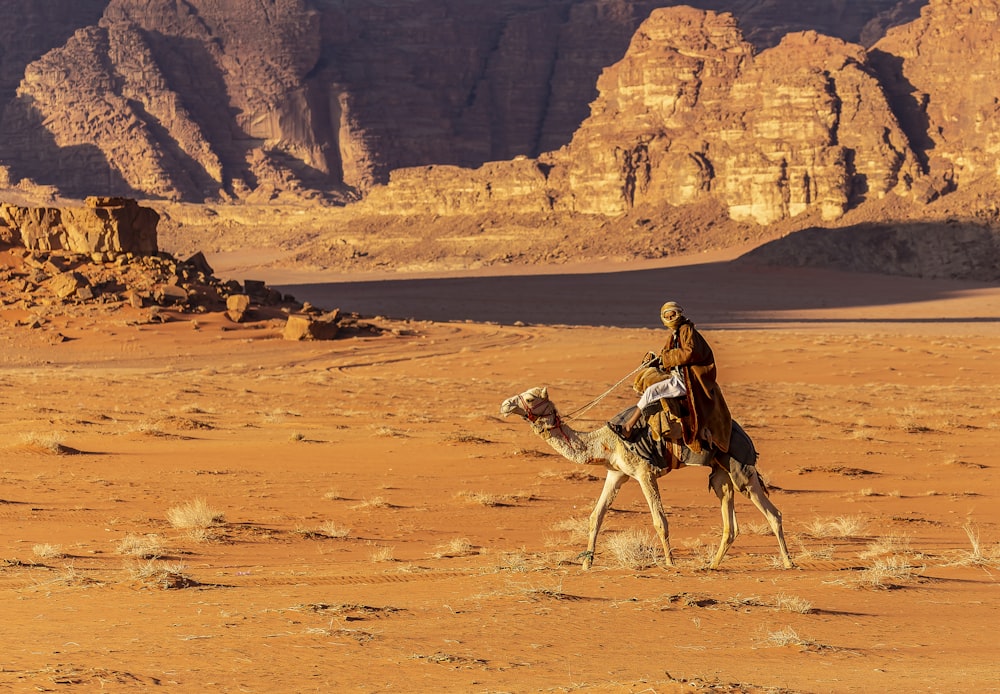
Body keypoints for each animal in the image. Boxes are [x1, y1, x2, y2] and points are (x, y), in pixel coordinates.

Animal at [504, 386, 792, 572]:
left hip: (740, 466)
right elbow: (596, 516)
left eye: (529, 397)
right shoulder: (616, 473)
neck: (605, 442)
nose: (505, 404)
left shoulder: (644, 472)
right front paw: (586, 562)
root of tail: (745, 436)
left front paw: (670, 563)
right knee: (730, 523)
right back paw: (712, 564)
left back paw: (789, 562)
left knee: (772, 513)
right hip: (721, 472)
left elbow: (659, 520)